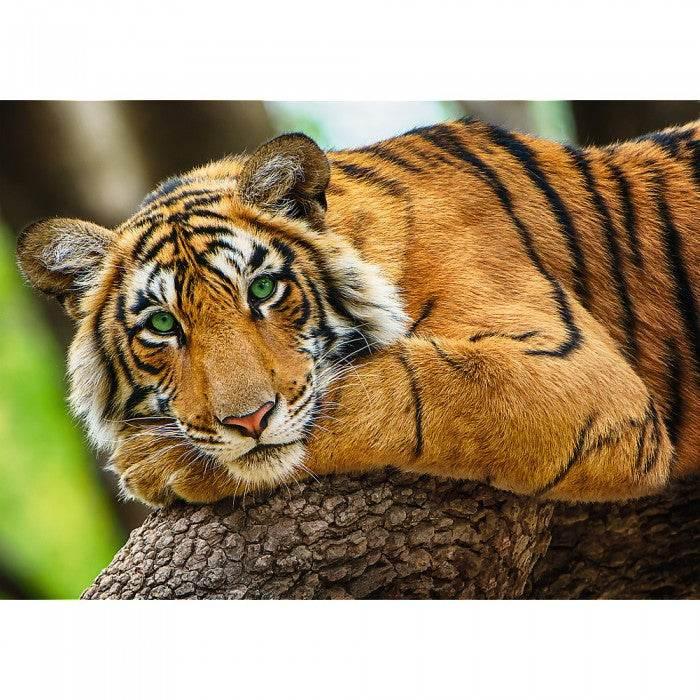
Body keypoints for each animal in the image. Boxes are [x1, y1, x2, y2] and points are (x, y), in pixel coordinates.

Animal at [17, 116, 699, 507]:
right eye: (161, 325)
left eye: (263, 290)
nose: (248, 421)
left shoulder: (580, 375)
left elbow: (402, 387)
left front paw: (156, 461)